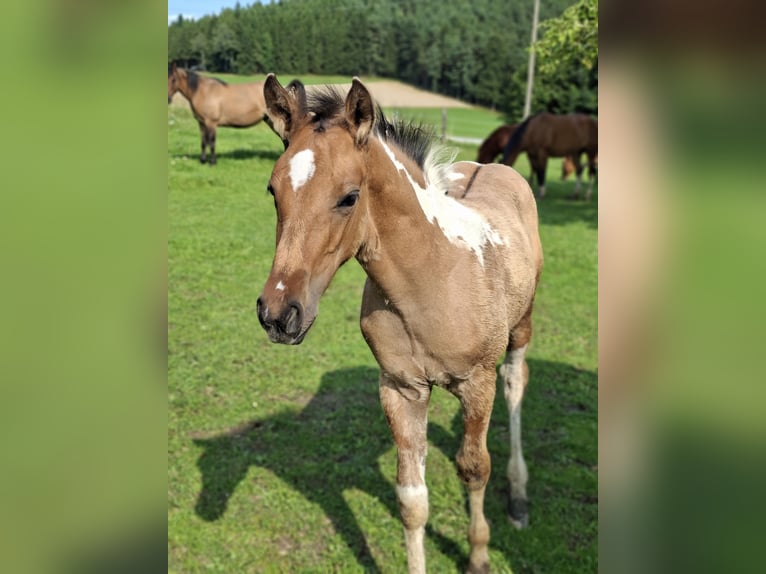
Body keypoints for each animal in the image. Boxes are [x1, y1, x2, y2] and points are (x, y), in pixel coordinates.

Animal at [256, 75, 543, 574]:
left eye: (349, 197)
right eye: (274, 191)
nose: (278, 314)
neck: (431, 277)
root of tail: (495, 167)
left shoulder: (477, 382)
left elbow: (474, 468)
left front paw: (479, 555)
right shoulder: (401, 387)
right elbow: (411, 499)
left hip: (521, 328)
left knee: (515, 384)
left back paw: (519, 497)